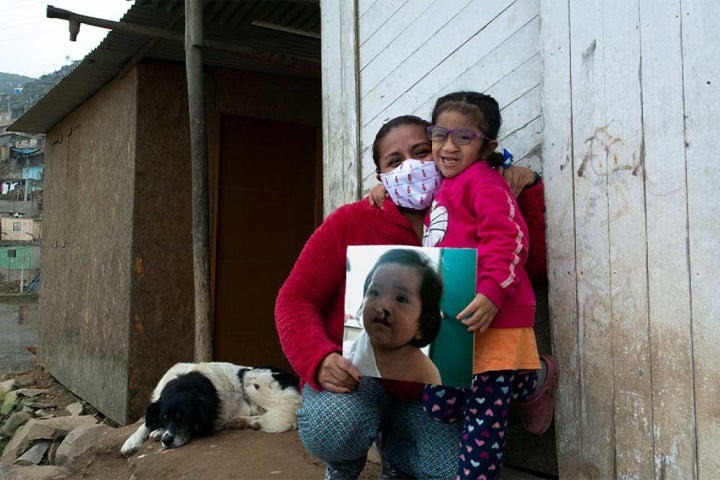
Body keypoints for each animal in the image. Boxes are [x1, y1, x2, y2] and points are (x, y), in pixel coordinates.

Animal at [121, 362, 300, 456]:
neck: (184, 383)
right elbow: (144, 424)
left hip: (251, 380)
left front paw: (157, 432)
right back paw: (246, 421)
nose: (167, 440)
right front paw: (132, 442)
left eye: (183, 418)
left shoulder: (214, 419)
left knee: (287, 411)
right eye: (164, 418)